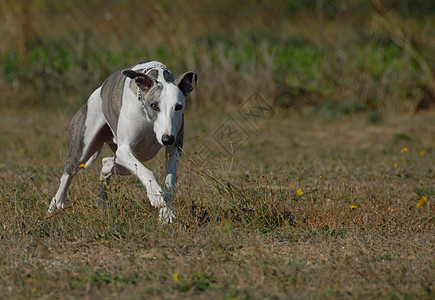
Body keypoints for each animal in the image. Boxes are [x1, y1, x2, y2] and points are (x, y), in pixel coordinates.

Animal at [49, 60, 199, 223]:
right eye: (154, 105)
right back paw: (56, 204)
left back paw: (103, 199)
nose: (167, 139)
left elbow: (169, 183)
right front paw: (155, 195)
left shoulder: (174, 150)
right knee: (68, 173)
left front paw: (166, 214)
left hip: (123, 160)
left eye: (178, 107)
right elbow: (147, 172)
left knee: (107, 163)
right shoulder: (124, 149)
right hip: (82, 148)